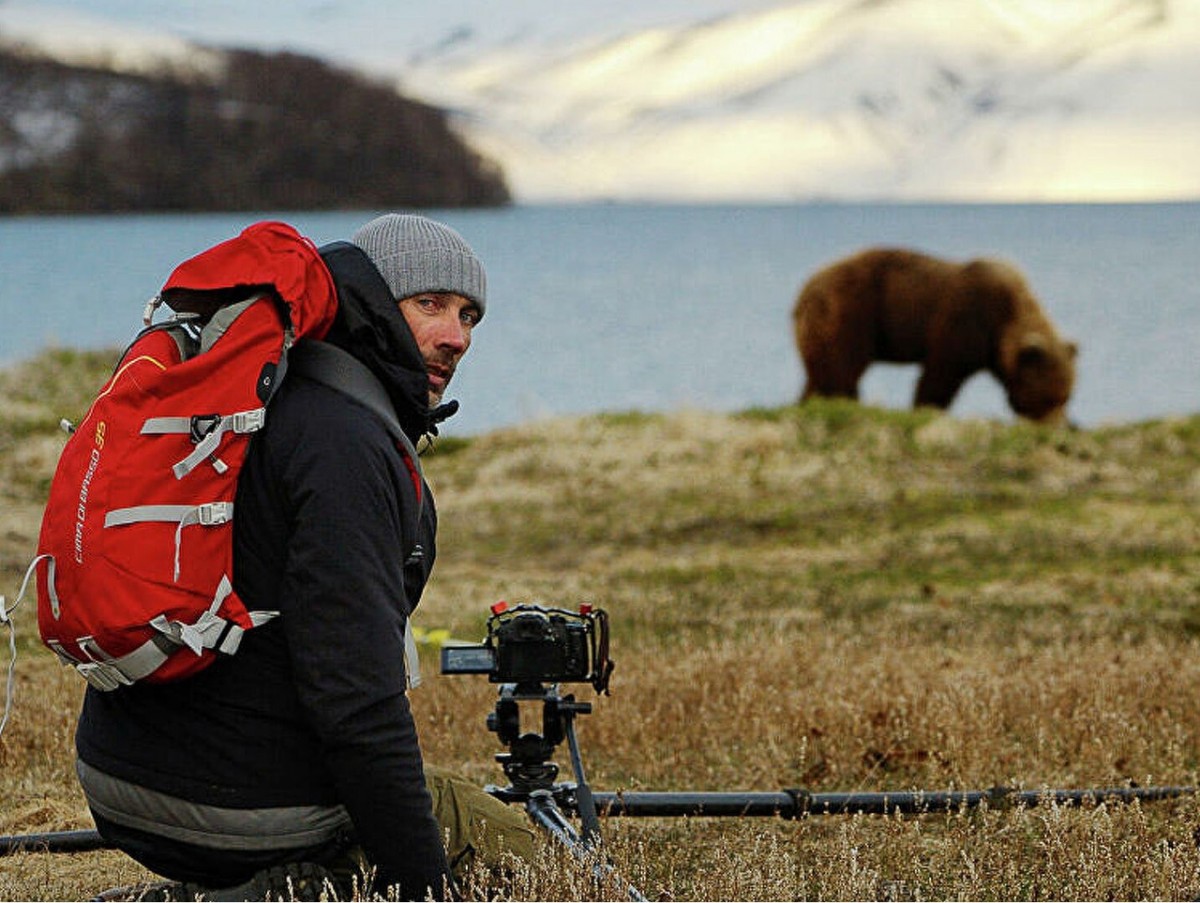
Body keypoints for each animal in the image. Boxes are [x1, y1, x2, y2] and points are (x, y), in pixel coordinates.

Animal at [796, 244, 1080, 425]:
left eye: (1066, 396)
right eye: (1048, 398)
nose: (1059, 427)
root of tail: (804, 292)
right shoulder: (968, 319)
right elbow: (940, 374)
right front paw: (926, 408)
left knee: (817, 374)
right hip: (851, 314)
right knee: (841, 370)